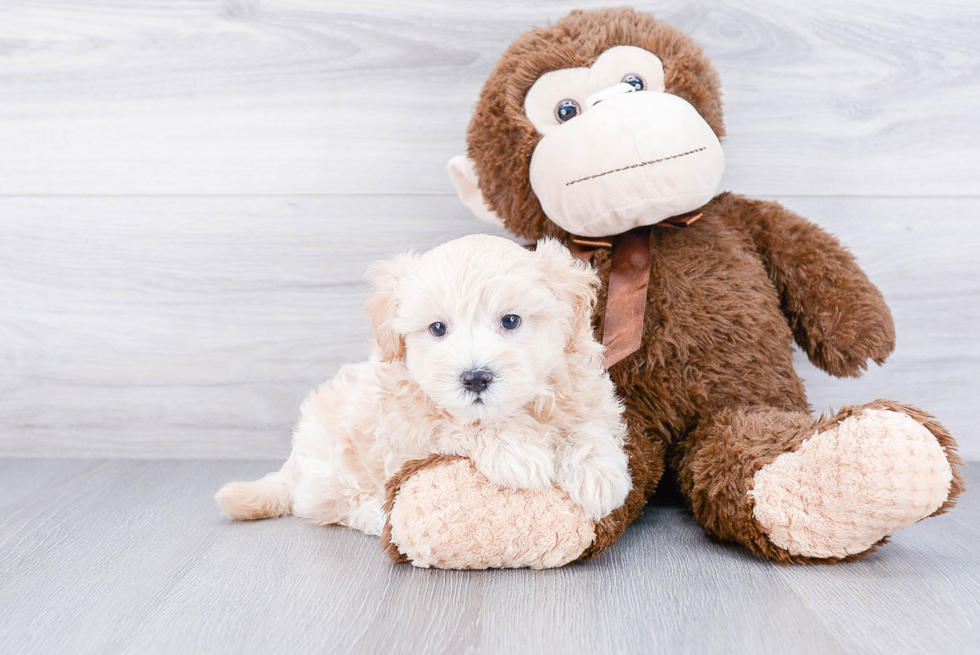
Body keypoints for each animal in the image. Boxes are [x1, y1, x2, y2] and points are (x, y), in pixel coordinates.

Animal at [215, 236, 632, 540]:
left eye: (511, 321)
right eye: (437, 328)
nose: (475, 377)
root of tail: (293, 462)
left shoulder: (582, 393)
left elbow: (587, 426)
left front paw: (599, 476)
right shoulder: (407, 431)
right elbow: (458, 424)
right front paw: (517, 453)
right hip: (333, 461)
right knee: (330, 505)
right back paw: (375, 515)